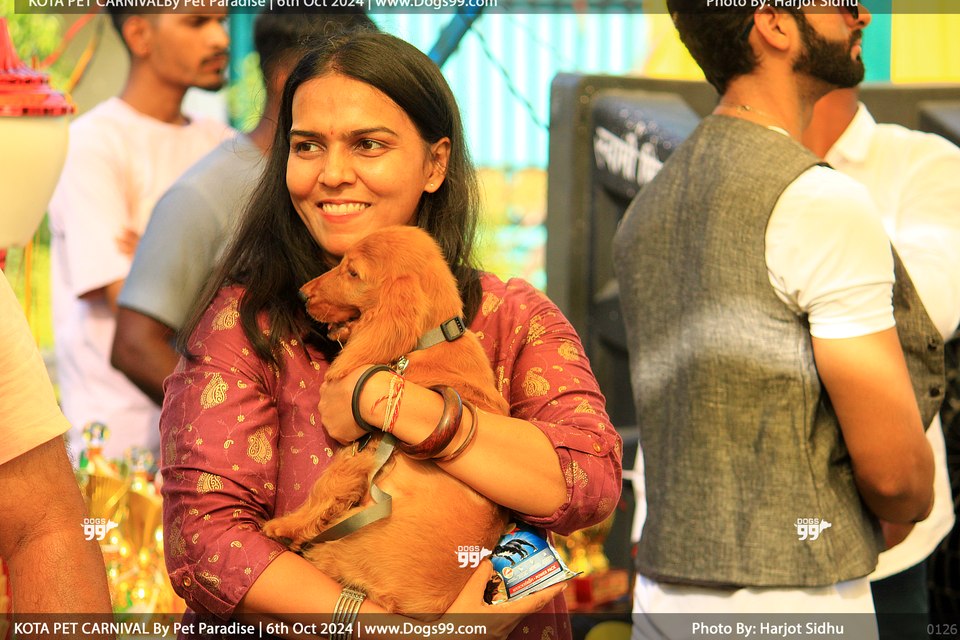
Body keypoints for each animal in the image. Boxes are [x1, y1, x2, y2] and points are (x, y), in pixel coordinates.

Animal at [262, 225, 510, 618]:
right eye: (342, 262)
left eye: (352, 272)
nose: (302, 294)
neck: (427, 343)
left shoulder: (367, 450)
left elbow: (326, 487)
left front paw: (283, 525)